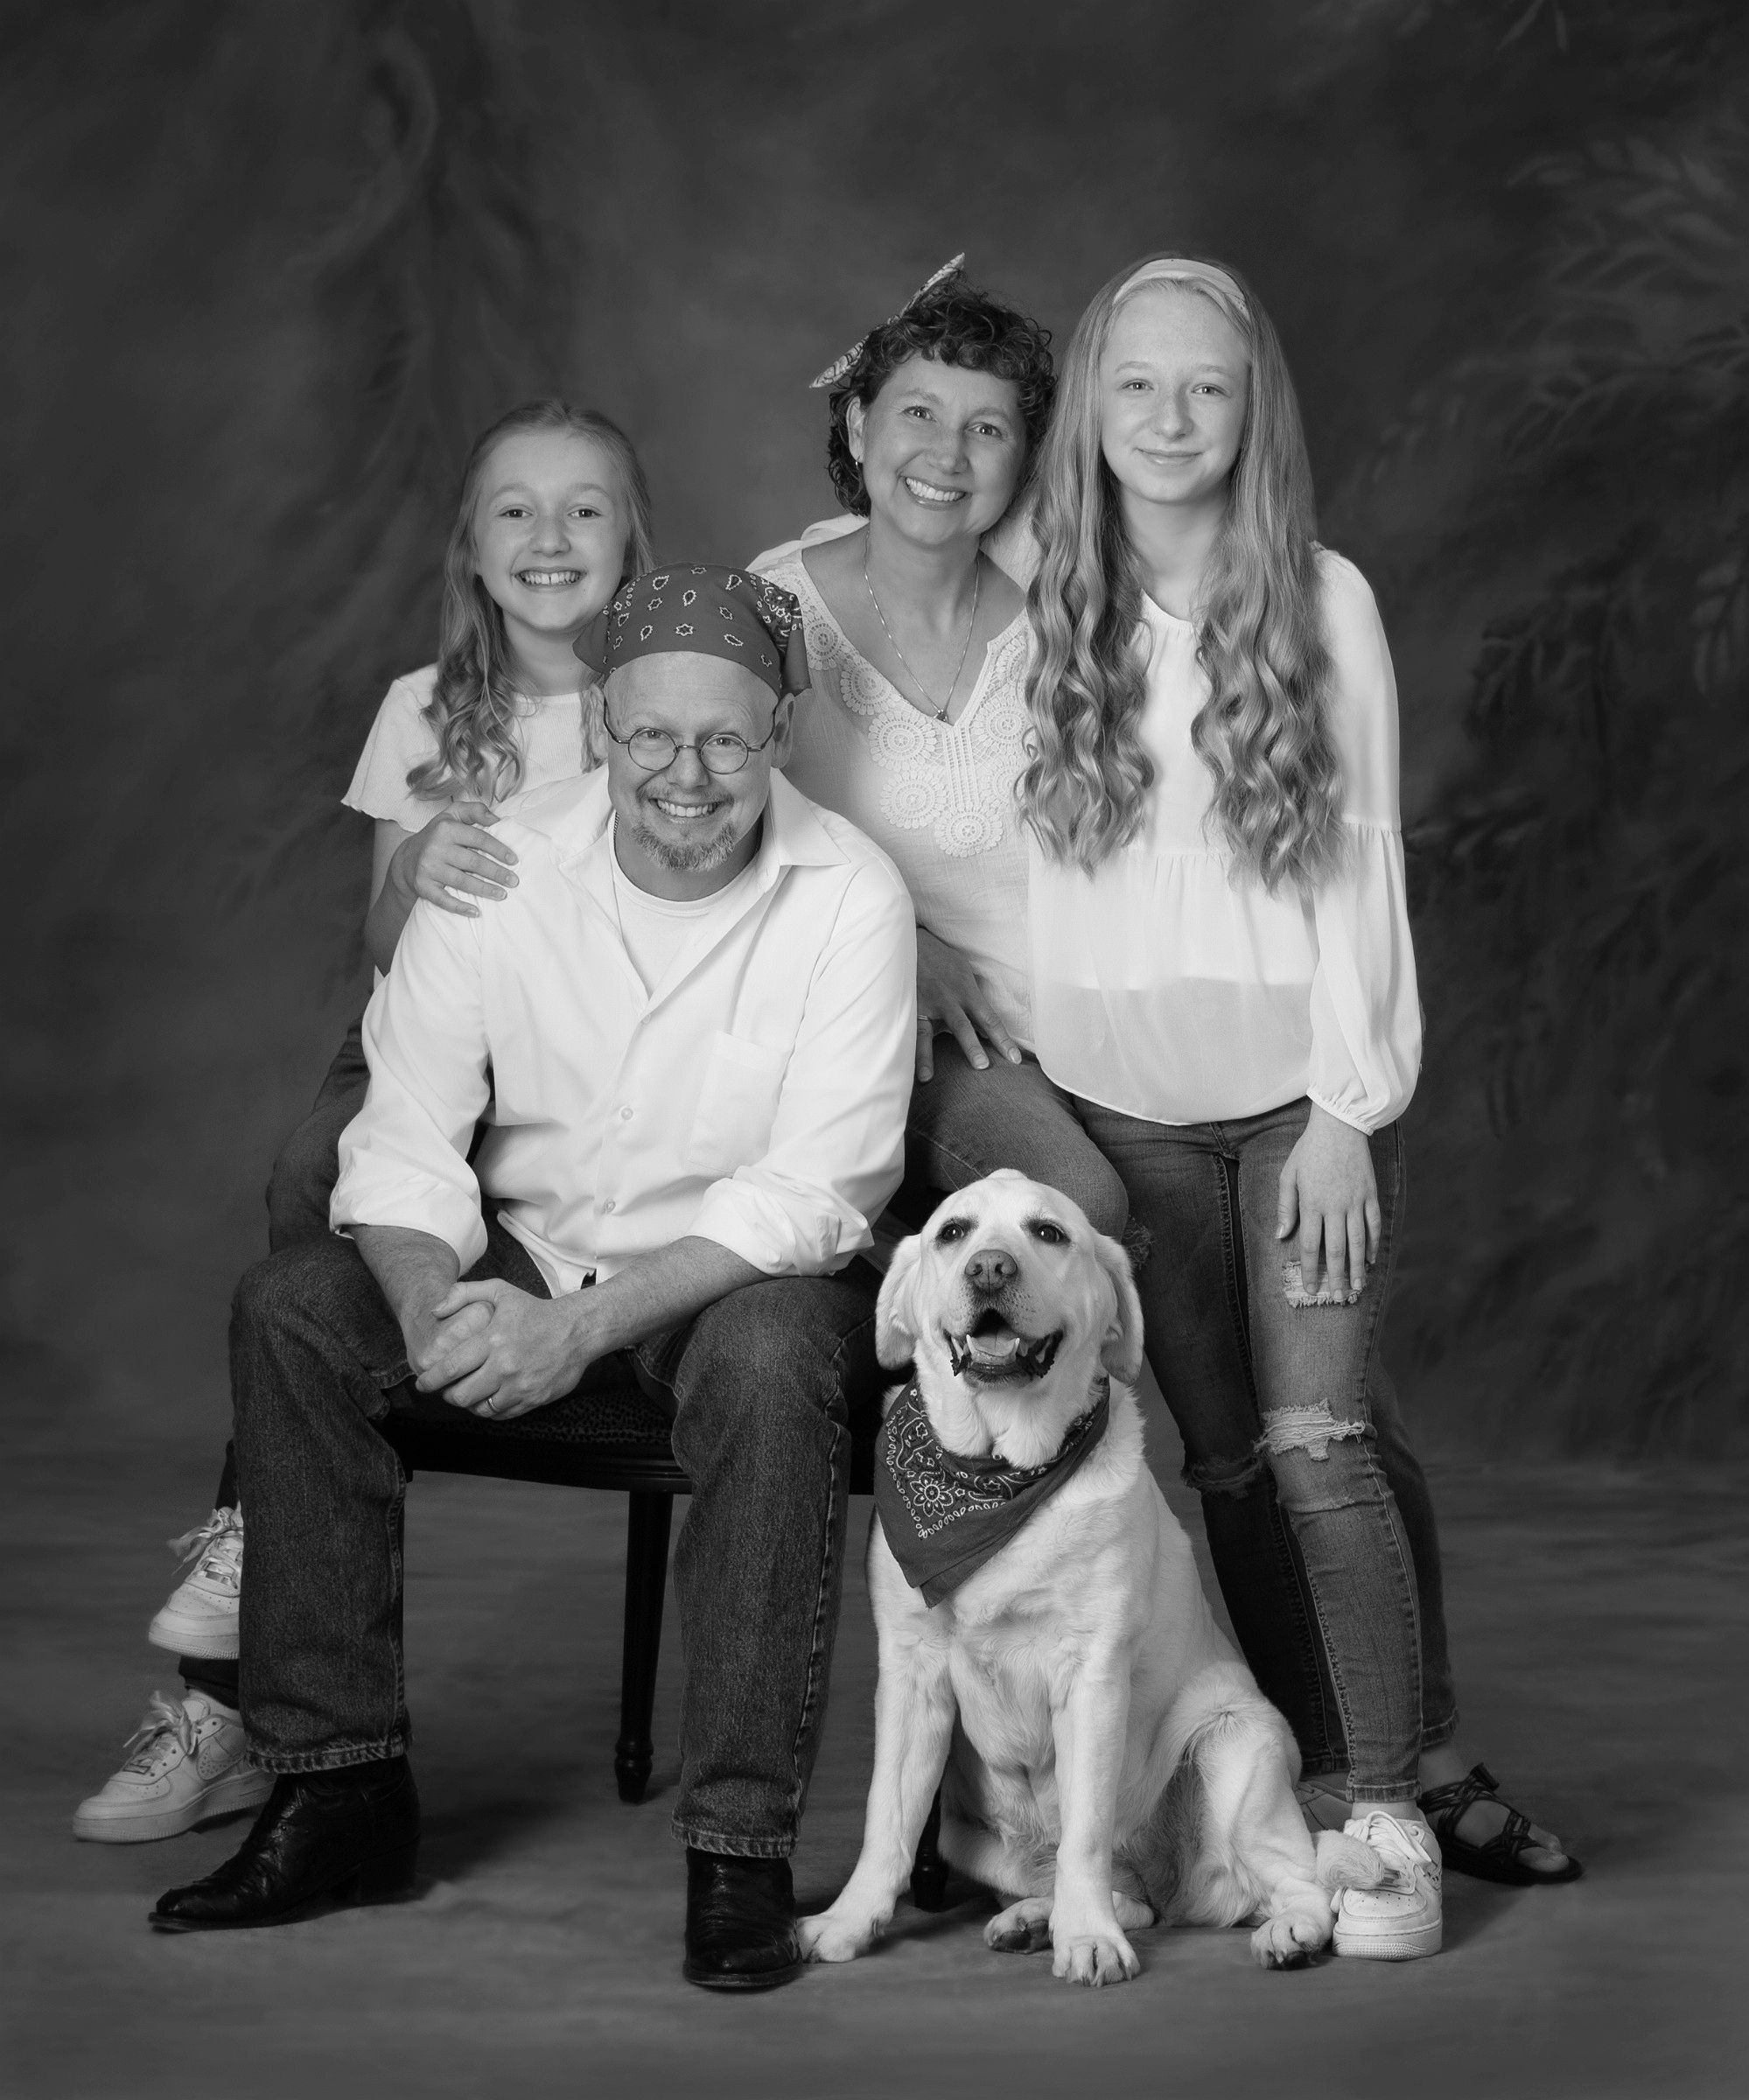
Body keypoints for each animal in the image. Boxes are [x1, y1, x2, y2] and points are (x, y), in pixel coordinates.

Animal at [799, 1170, 1376, 1986]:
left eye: (1047, 1233)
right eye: (953, 1233)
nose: (989, 1269)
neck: (997, 1476)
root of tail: (1175, 1882)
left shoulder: (1093, 1676)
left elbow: (1085, 1829)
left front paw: (1088, 1941)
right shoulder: (910, 1675)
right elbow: (887, 1818)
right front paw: (849, 1922)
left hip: (1238, 1746)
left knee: (1291, 1879)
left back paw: (1284, 1932)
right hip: (970, 1837)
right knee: (1128, 1895)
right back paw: (1033, 1920)